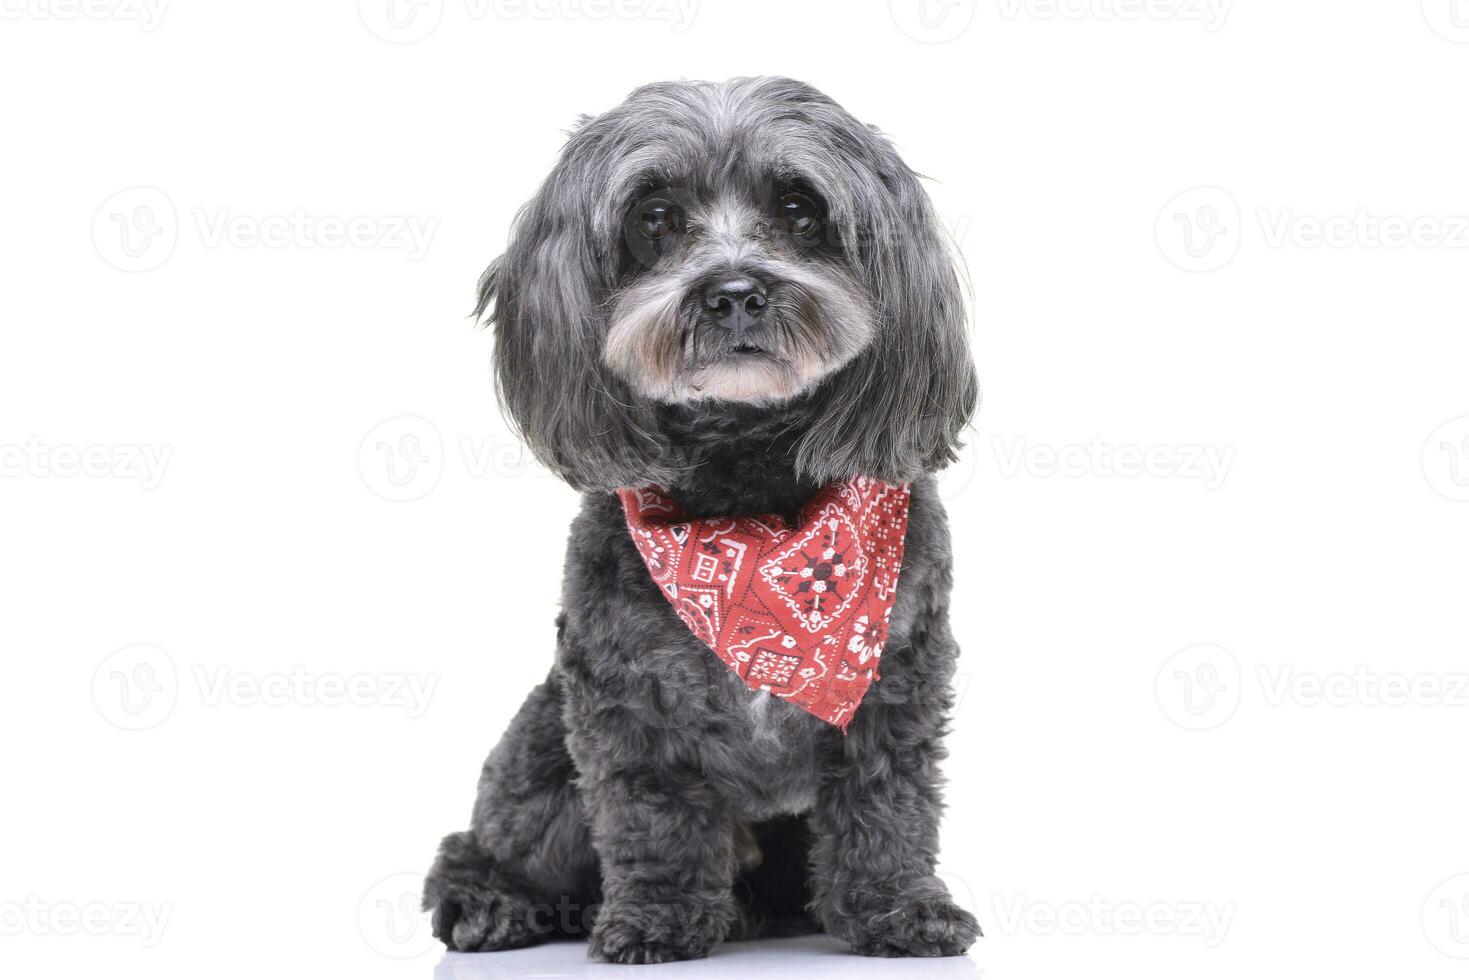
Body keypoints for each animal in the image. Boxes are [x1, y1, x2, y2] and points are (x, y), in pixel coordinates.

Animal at [420, 76, 981, 963]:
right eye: (654, 216)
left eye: (798, 209)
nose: (735, 294)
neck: (750, 508)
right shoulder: (623, 694)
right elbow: (651, 815)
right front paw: (656, 916)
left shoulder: (896, 676)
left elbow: (887, 805)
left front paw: (898, 909)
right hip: (541, 759)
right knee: (483, 843)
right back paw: (491, 901)